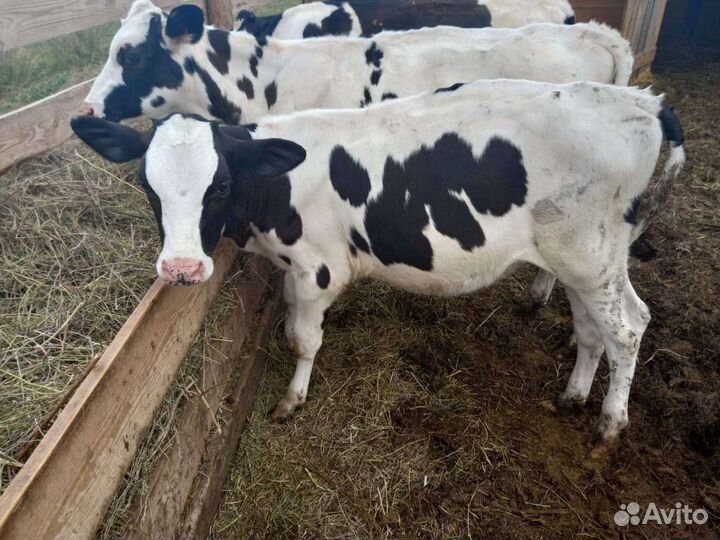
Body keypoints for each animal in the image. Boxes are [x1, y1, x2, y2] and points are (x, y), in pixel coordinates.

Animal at [71, 78, 685, 451]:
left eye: (219, 185)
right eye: (146, 186)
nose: (180, 269)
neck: (276, 187)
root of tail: (641, 101)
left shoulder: (317, 270)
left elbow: (303, 339)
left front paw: (292, 400)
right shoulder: (291, 271)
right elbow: (290, 323)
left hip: (592, 255)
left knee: (629, 327)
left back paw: (610, 422)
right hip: (582, 260)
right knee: (592, 328)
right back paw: (574, 395)